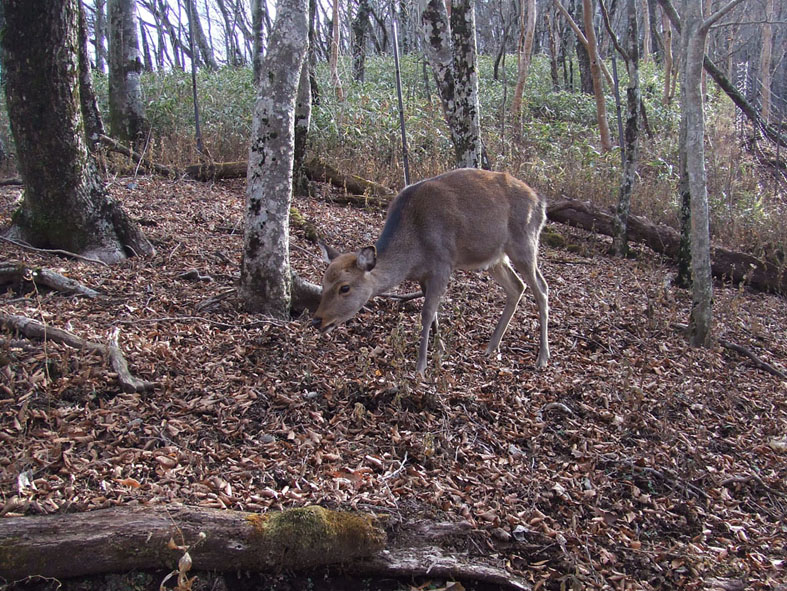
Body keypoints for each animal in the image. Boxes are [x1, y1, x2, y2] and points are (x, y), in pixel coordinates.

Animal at [310, 166, 552, 374]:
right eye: (323, 282)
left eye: (345, 287)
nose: (317, 320)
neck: (414, 252)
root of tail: (541, 201)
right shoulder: (424, 274)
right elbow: (433, 312)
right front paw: (440, 350)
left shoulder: (443, 264)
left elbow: (426, 313)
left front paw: (421, 366)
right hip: (495, 257)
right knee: (517, 286)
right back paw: (491, 347)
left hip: (525, 242)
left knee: (541, 288)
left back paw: (542, 357)